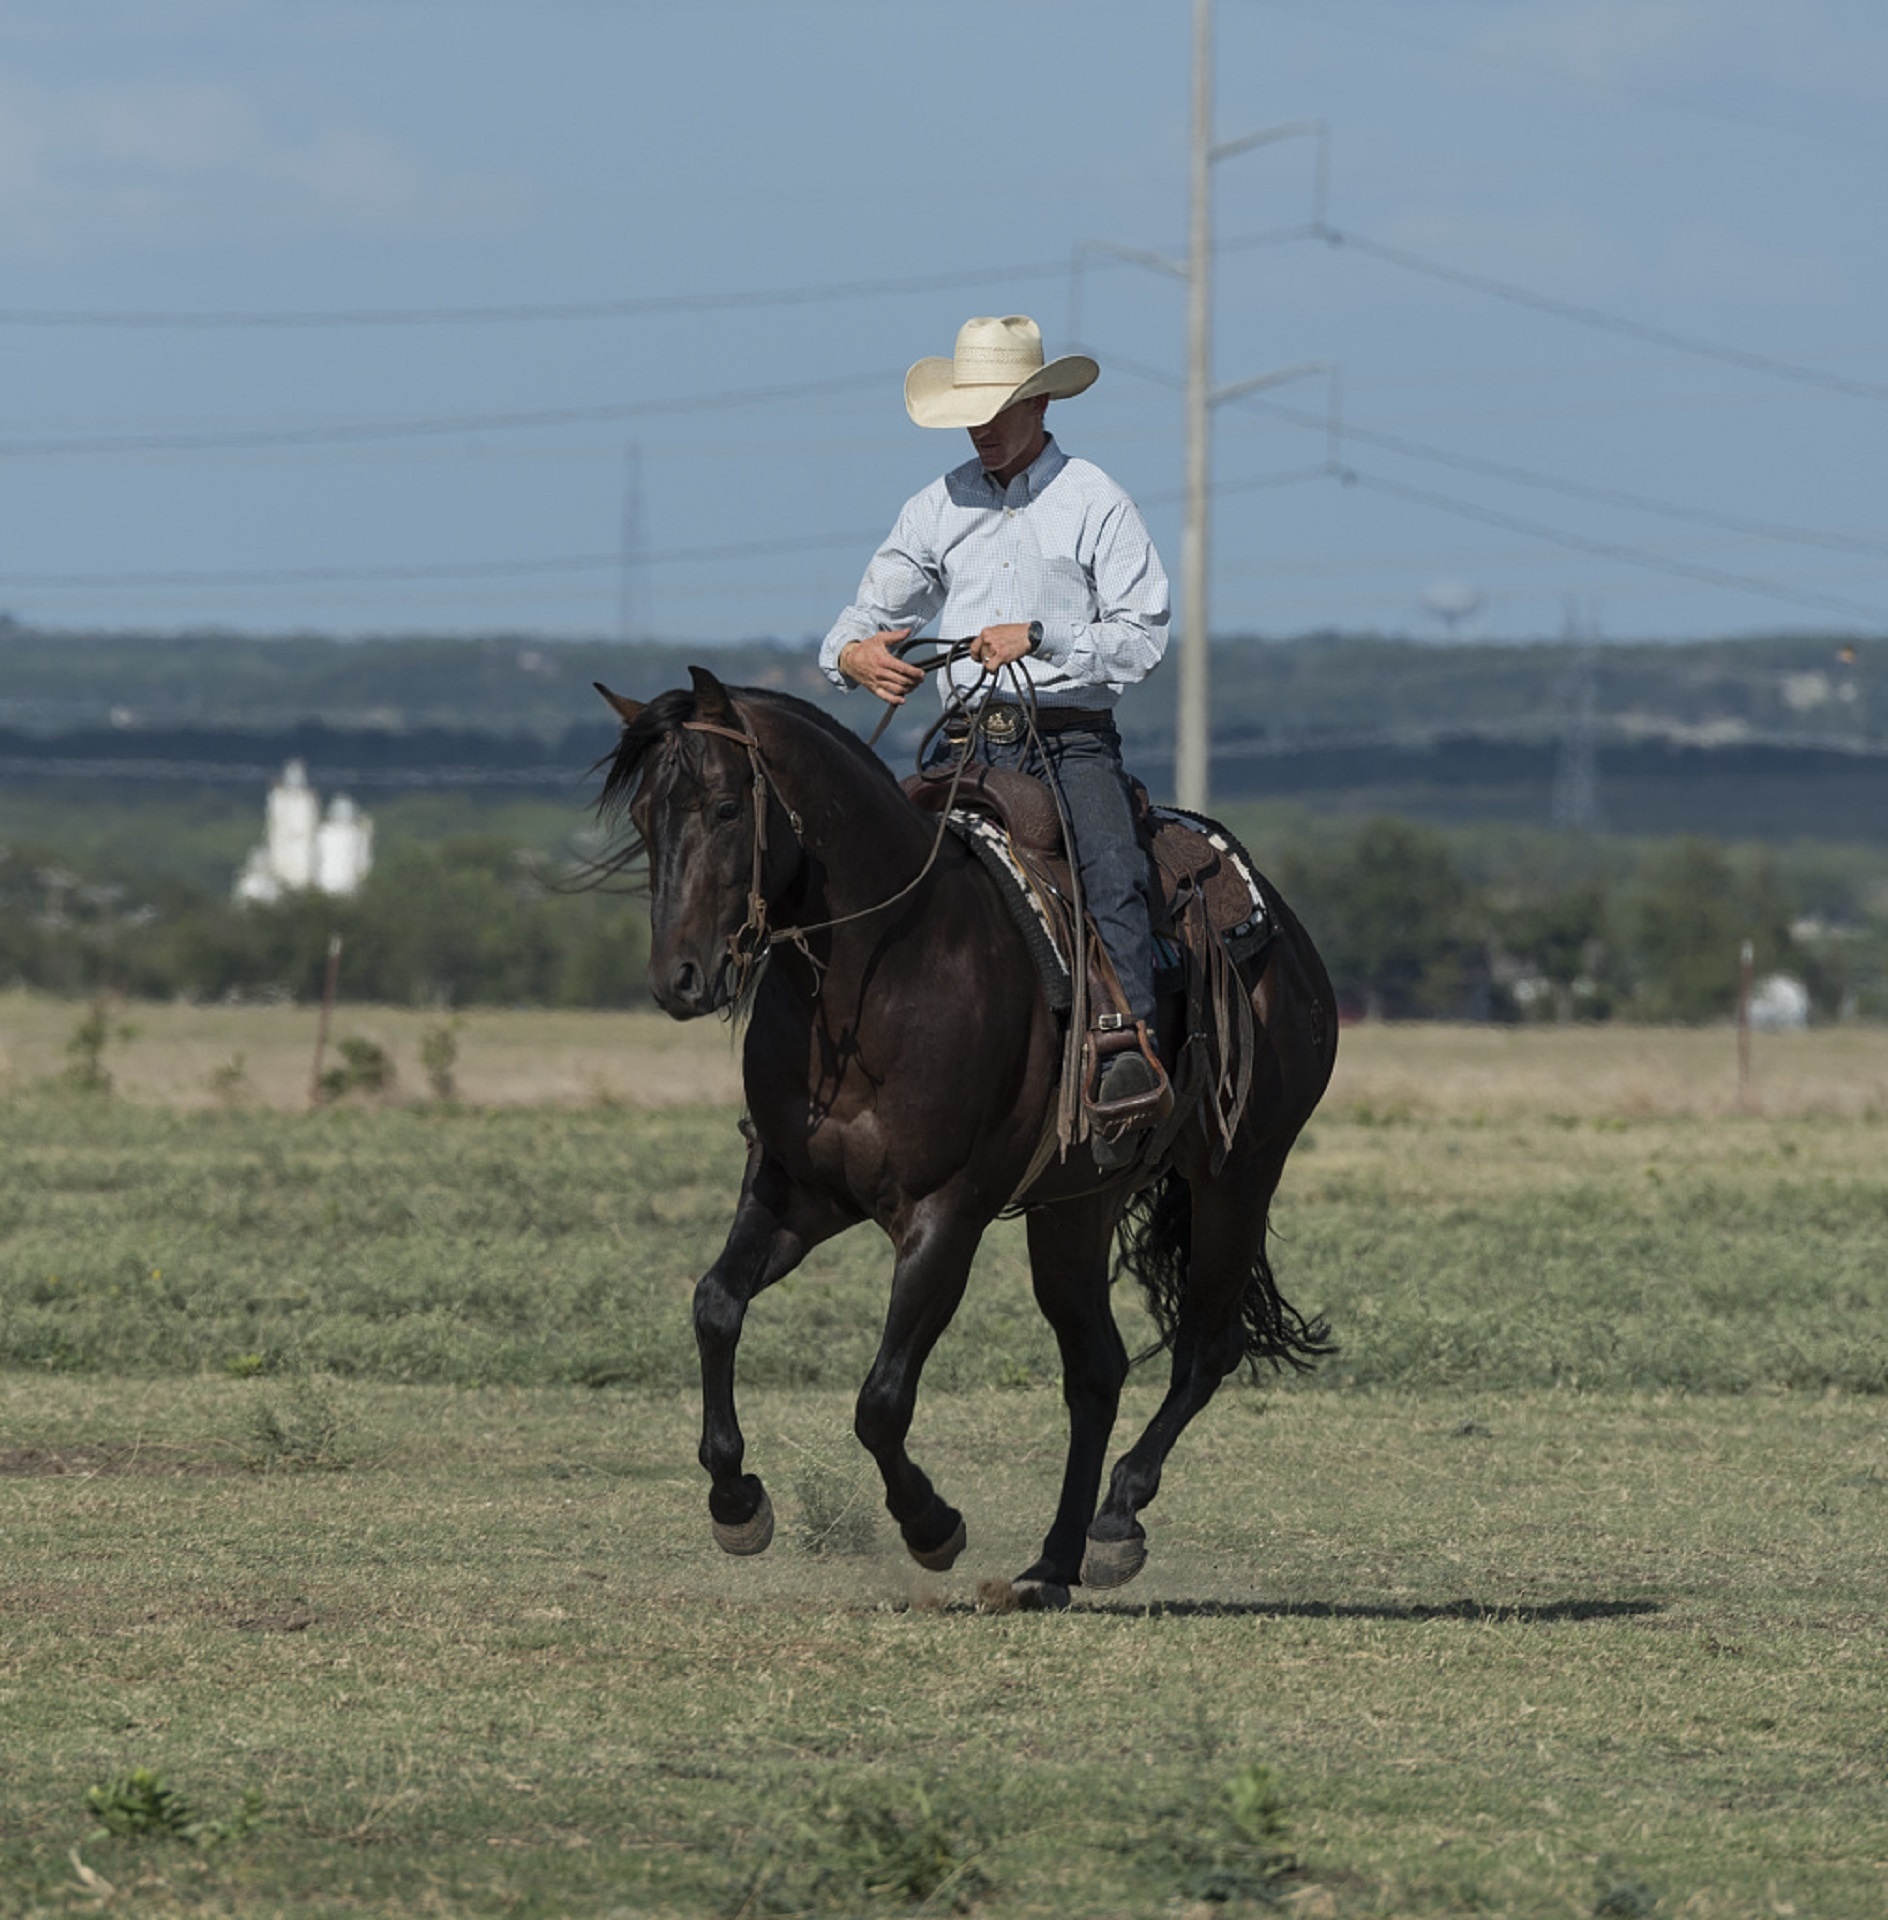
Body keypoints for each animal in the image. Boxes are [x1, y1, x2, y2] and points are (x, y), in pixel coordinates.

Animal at [599, 668, 1336, 1597]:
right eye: (642, 818)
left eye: (729, 808)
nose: (680, 979)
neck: (878, 976)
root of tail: (1289, 940)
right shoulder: (796, 1190)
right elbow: (715, 1305)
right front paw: (736, 1503)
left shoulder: (944, 1215)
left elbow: (881, 1401)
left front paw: (932, 1526)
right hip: (1076, 1208)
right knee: (1096, 1369)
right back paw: (1053, 1563)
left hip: (1238, 1177)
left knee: (1207, 1348)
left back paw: (1116, 1521)